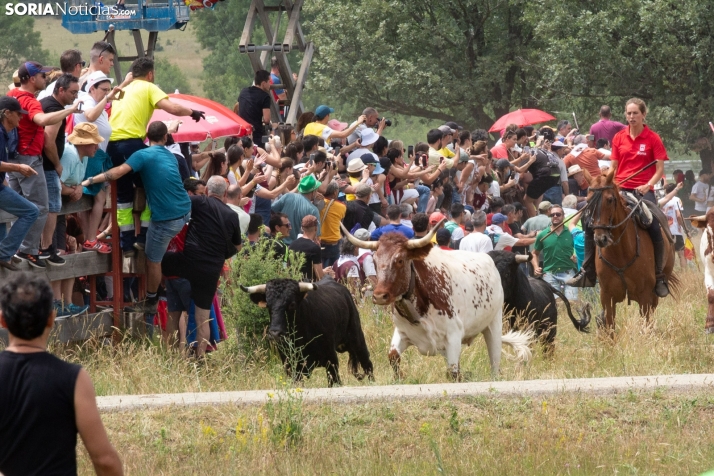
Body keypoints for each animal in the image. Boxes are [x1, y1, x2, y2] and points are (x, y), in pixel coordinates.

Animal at [587, 169, 678, 333]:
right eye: (587, 201)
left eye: (610, 199)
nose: (601, 238)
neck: (620, 254)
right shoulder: (607, 297)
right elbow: (610, 327)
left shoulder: (644, 296)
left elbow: (645, 324)